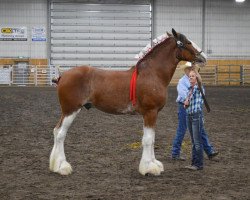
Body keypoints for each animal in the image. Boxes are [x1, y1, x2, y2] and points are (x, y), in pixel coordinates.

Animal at [49, 28, 206, 176]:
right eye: (187, 42)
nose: (203, 58)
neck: (152, 74)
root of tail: (62, 76)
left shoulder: (152, 114)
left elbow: (152, 139)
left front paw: (154, 164)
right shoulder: (150, 112)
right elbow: (148, 139)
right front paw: (149, 168)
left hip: (68, 111)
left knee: (56, 131)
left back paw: (55, 166)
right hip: (71, 110)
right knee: (61, 134)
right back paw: (62, 167)